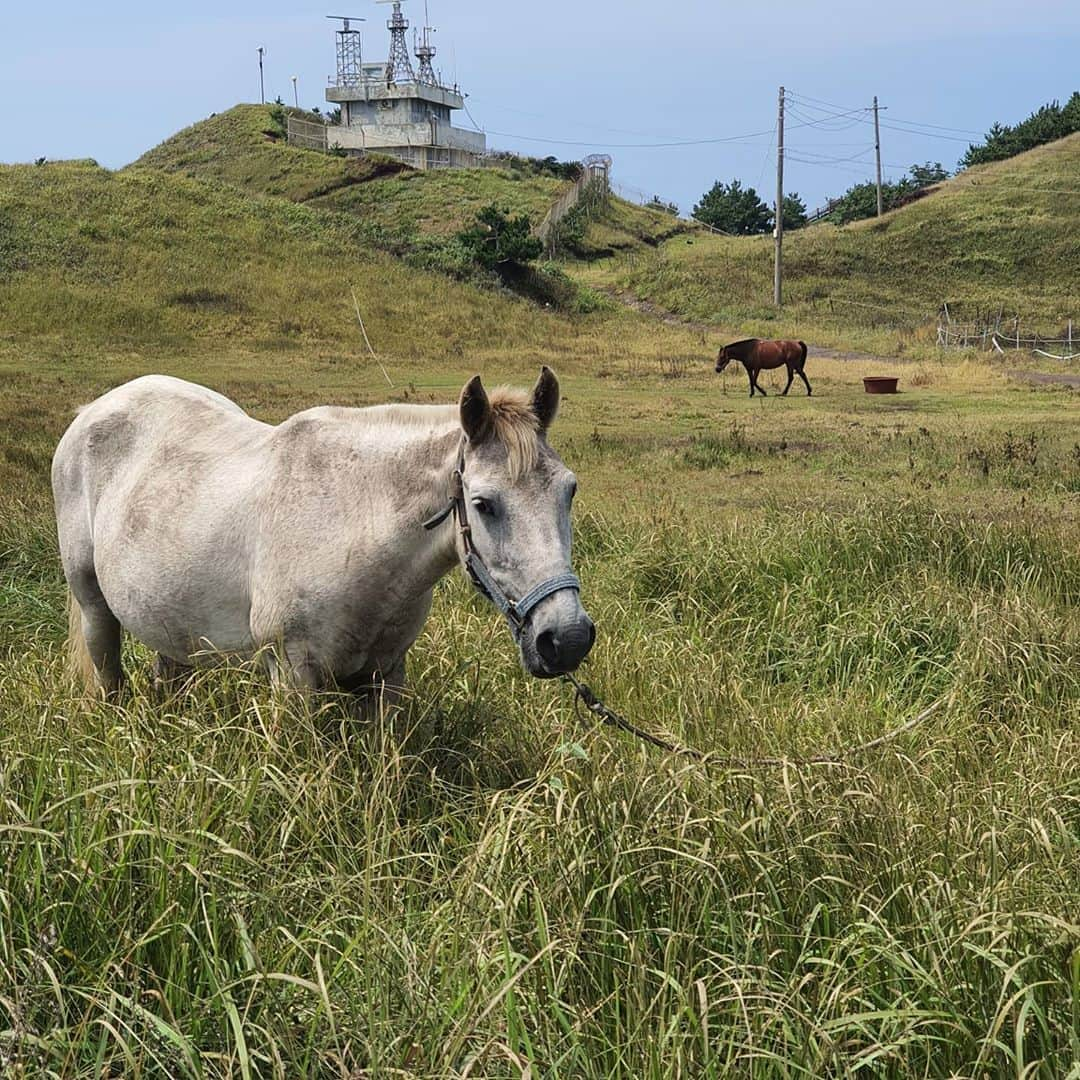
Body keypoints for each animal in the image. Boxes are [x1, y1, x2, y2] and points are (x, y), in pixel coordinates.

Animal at [50, 367, 596, 704]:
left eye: (569, 490)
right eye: (483, 504)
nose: (566, 639)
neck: (356, 525)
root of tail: (92, 410)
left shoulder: (385, 677)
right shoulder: (294, 678)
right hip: (95, 608)